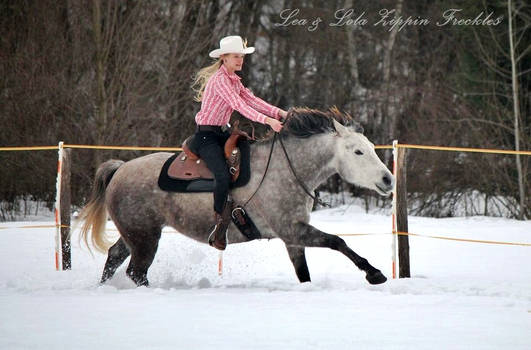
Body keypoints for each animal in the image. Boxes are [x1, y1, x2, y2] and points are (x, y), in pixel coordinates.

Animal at [78, 107, 394, 288]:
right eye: (358, 151)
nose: (388, 179)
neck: (285, 167)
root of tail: (119, 170)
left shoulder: (293, 237)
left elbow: (304, 272)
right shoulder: (292, 230)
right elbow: (337, 241)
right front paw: (374, 273)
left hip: (136, 234)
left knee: (114, 257)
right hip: (145, 239)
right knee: (136, 272)